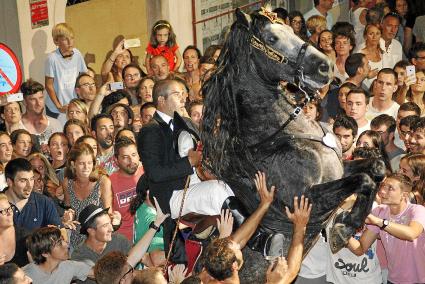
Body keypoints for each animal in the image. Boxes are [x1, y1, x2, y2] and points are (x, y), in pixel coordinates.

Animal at [201, 7, 384, 262]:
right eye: (271, 39)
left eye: (290, 29)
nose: (326, 66)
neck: (282, 134)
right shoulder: (306, 201)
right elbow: (364, 180)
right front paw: (343, 228)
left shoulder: (342, 168)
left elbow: (376, 168)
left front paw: (346, 223)